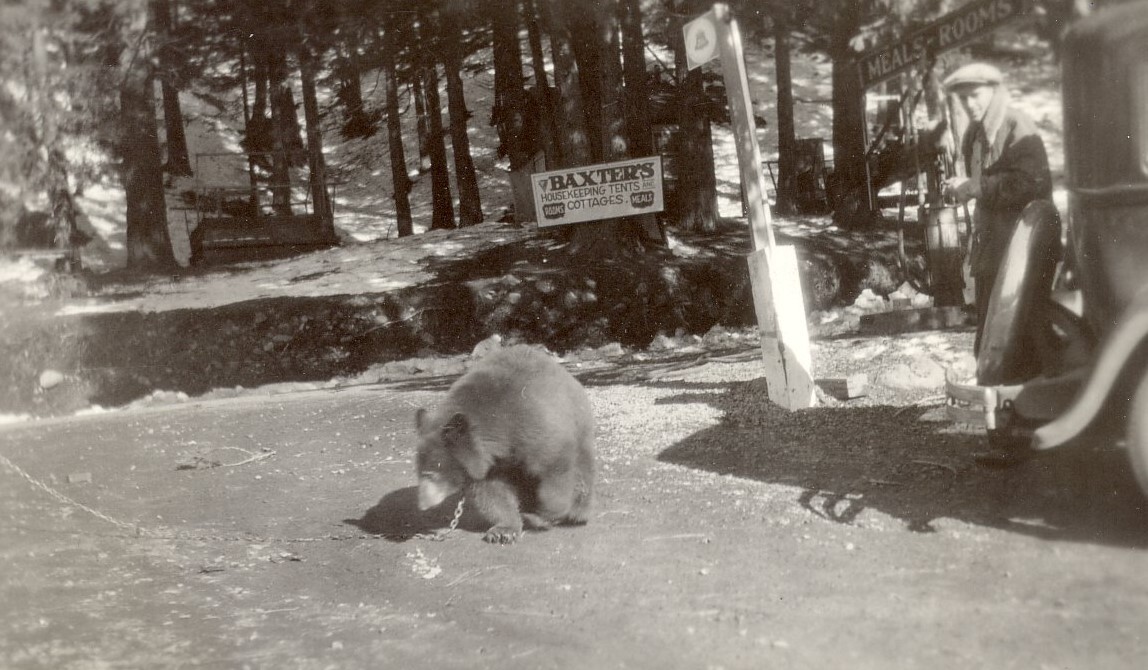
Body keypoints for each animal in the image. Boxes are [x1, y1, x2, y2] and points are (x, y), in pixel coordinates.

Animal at [414, 345, 595, 544]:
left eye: (430, 474)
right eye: (419, 473)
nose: (422, 505)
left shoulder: (533, 425)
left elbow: (554, 467)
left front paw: (544, 514)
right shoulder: (490, 464)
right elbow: (493, 493)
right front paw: (503, 531)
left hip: (579, 425)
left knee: (581, 471)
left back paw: (577, 514)